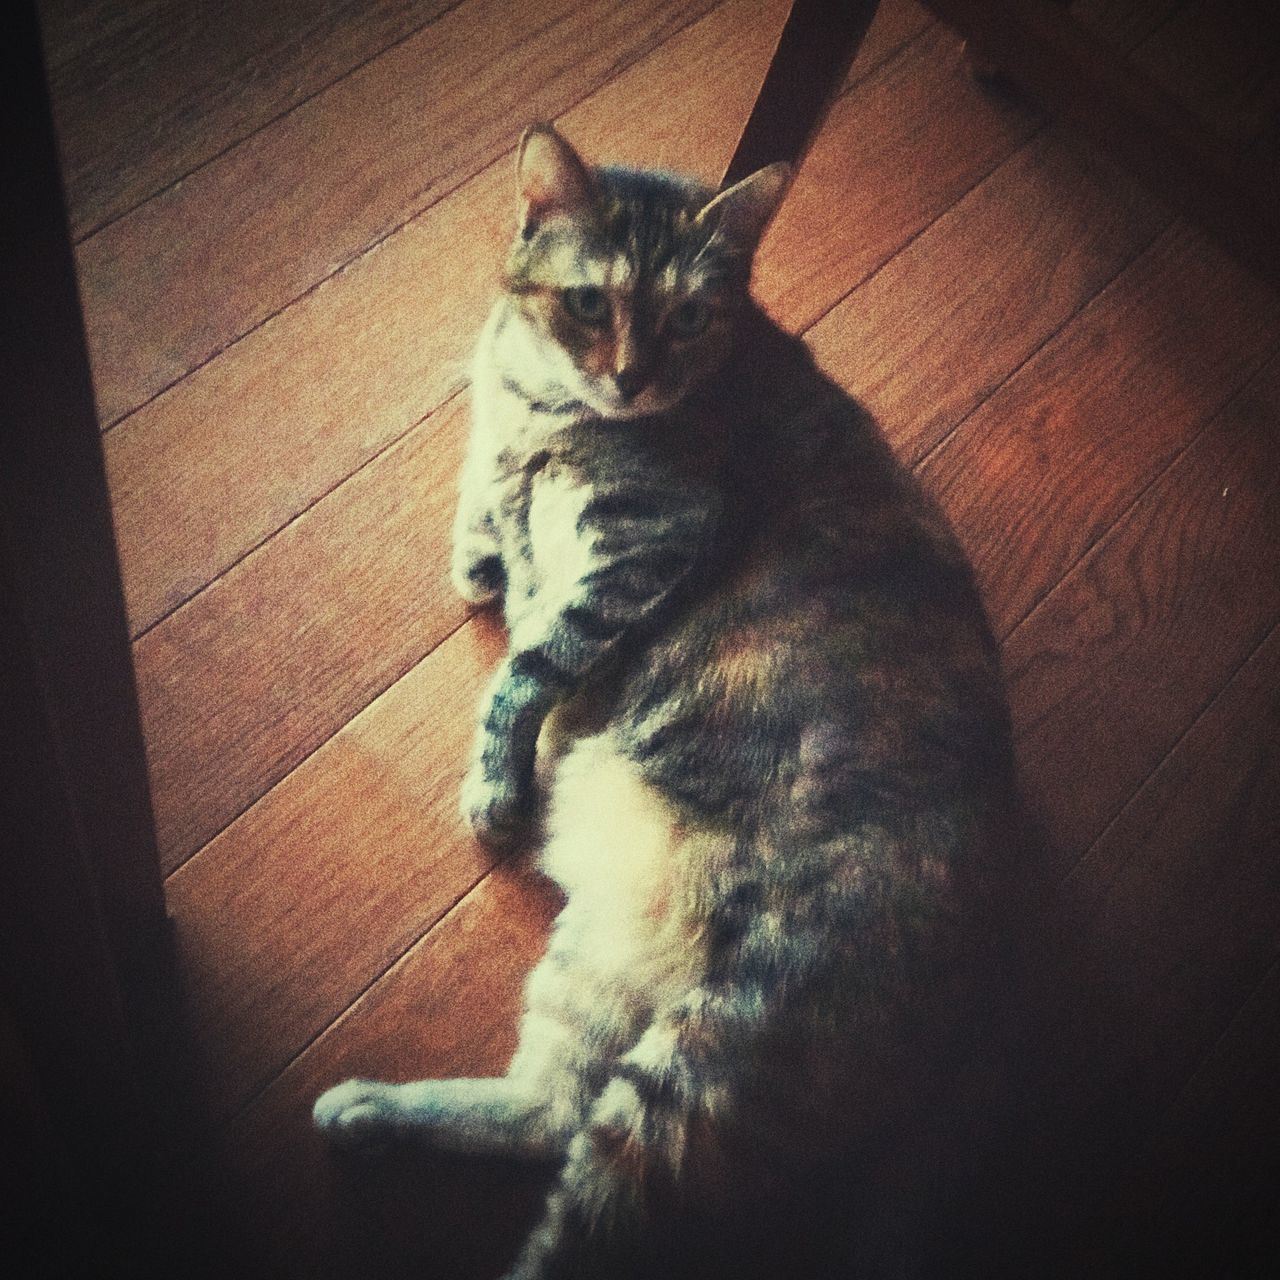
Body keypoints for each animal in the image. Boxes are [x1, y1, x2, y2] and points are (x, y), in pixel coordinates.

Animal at [314, 122, 1013, 1280]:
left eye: (688, 317)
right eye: (589, 302)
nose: (632, 377)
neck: (535, 403)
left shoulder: (638, 553)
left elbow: (523, 669)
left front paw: (494, 785)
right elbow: (483, 523)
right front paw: (479, 550)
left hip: (706, 1060)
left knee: (580, 1192)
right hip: (598, 961)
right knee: (547, 1108)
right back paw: (367, 1110)